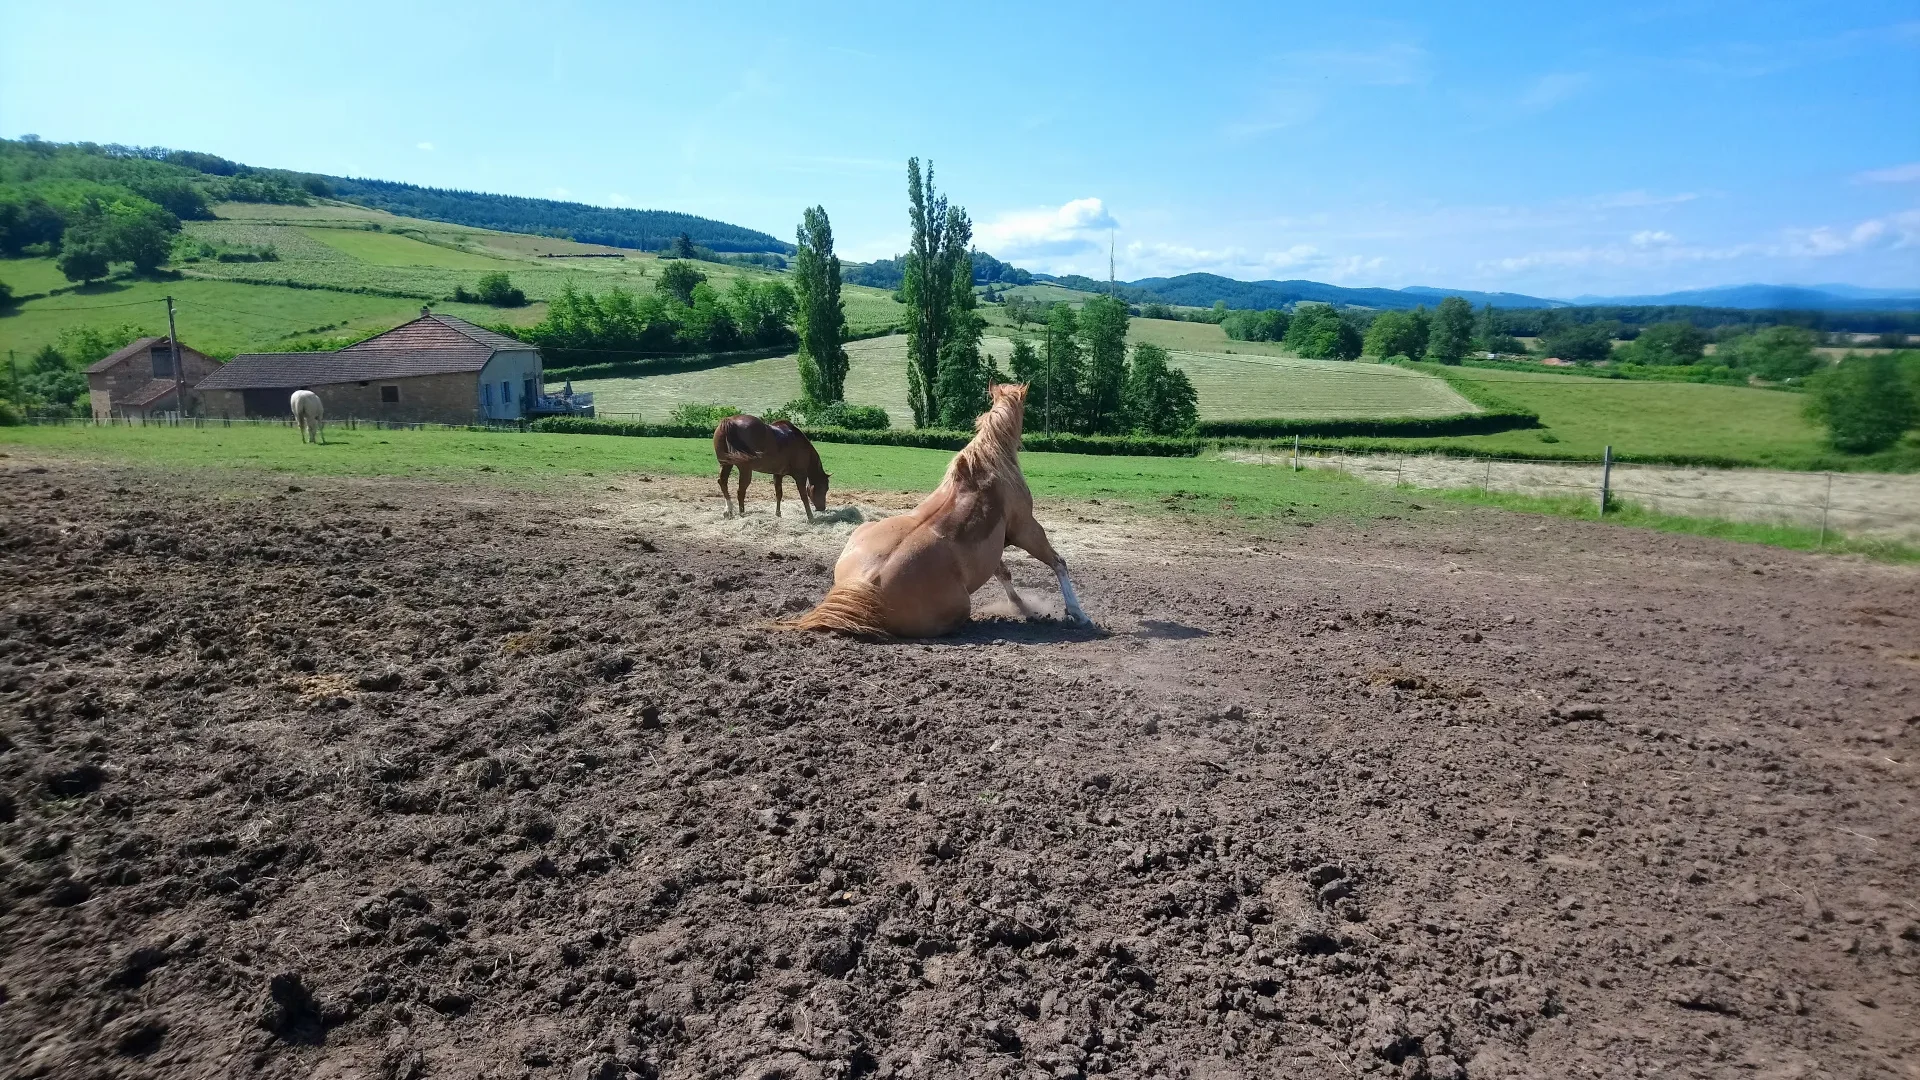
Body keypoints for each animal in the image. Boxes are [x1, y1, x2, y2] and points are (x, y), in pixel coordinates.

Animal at [775, 378, 1082, 634]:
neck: (991, 462)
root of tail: (867, 585)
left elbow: (1004, 573)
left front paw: (1024, 608)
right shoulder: (1026, 529)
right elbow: (1058, 563)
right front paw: (1078, 614)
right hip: (962, 604)